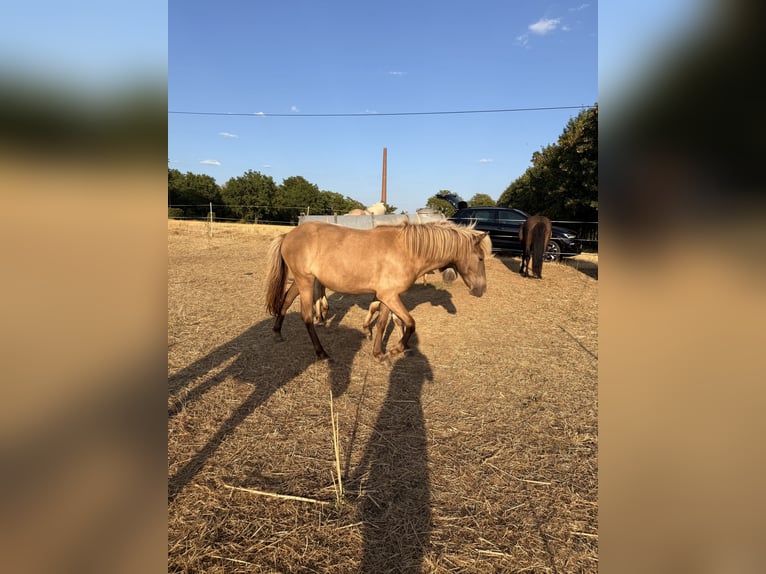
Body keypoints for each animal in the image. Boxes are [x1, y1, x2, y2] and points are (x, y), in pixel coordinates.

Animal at [265, 220, 491, 362]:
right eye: (480, 258)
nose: (481, 290)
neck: (407, 251)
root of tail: (288, 235)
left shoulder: (387, 296)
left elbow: (383, 322)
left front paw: (379, 352)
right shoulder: (389, 296)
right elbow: (410, 323)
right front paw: (396, 349)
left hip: (302, 280)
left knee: (285, 301)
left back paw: (277, 333)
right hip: (305, 282)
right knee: (306, 316)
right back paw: (321, 353)